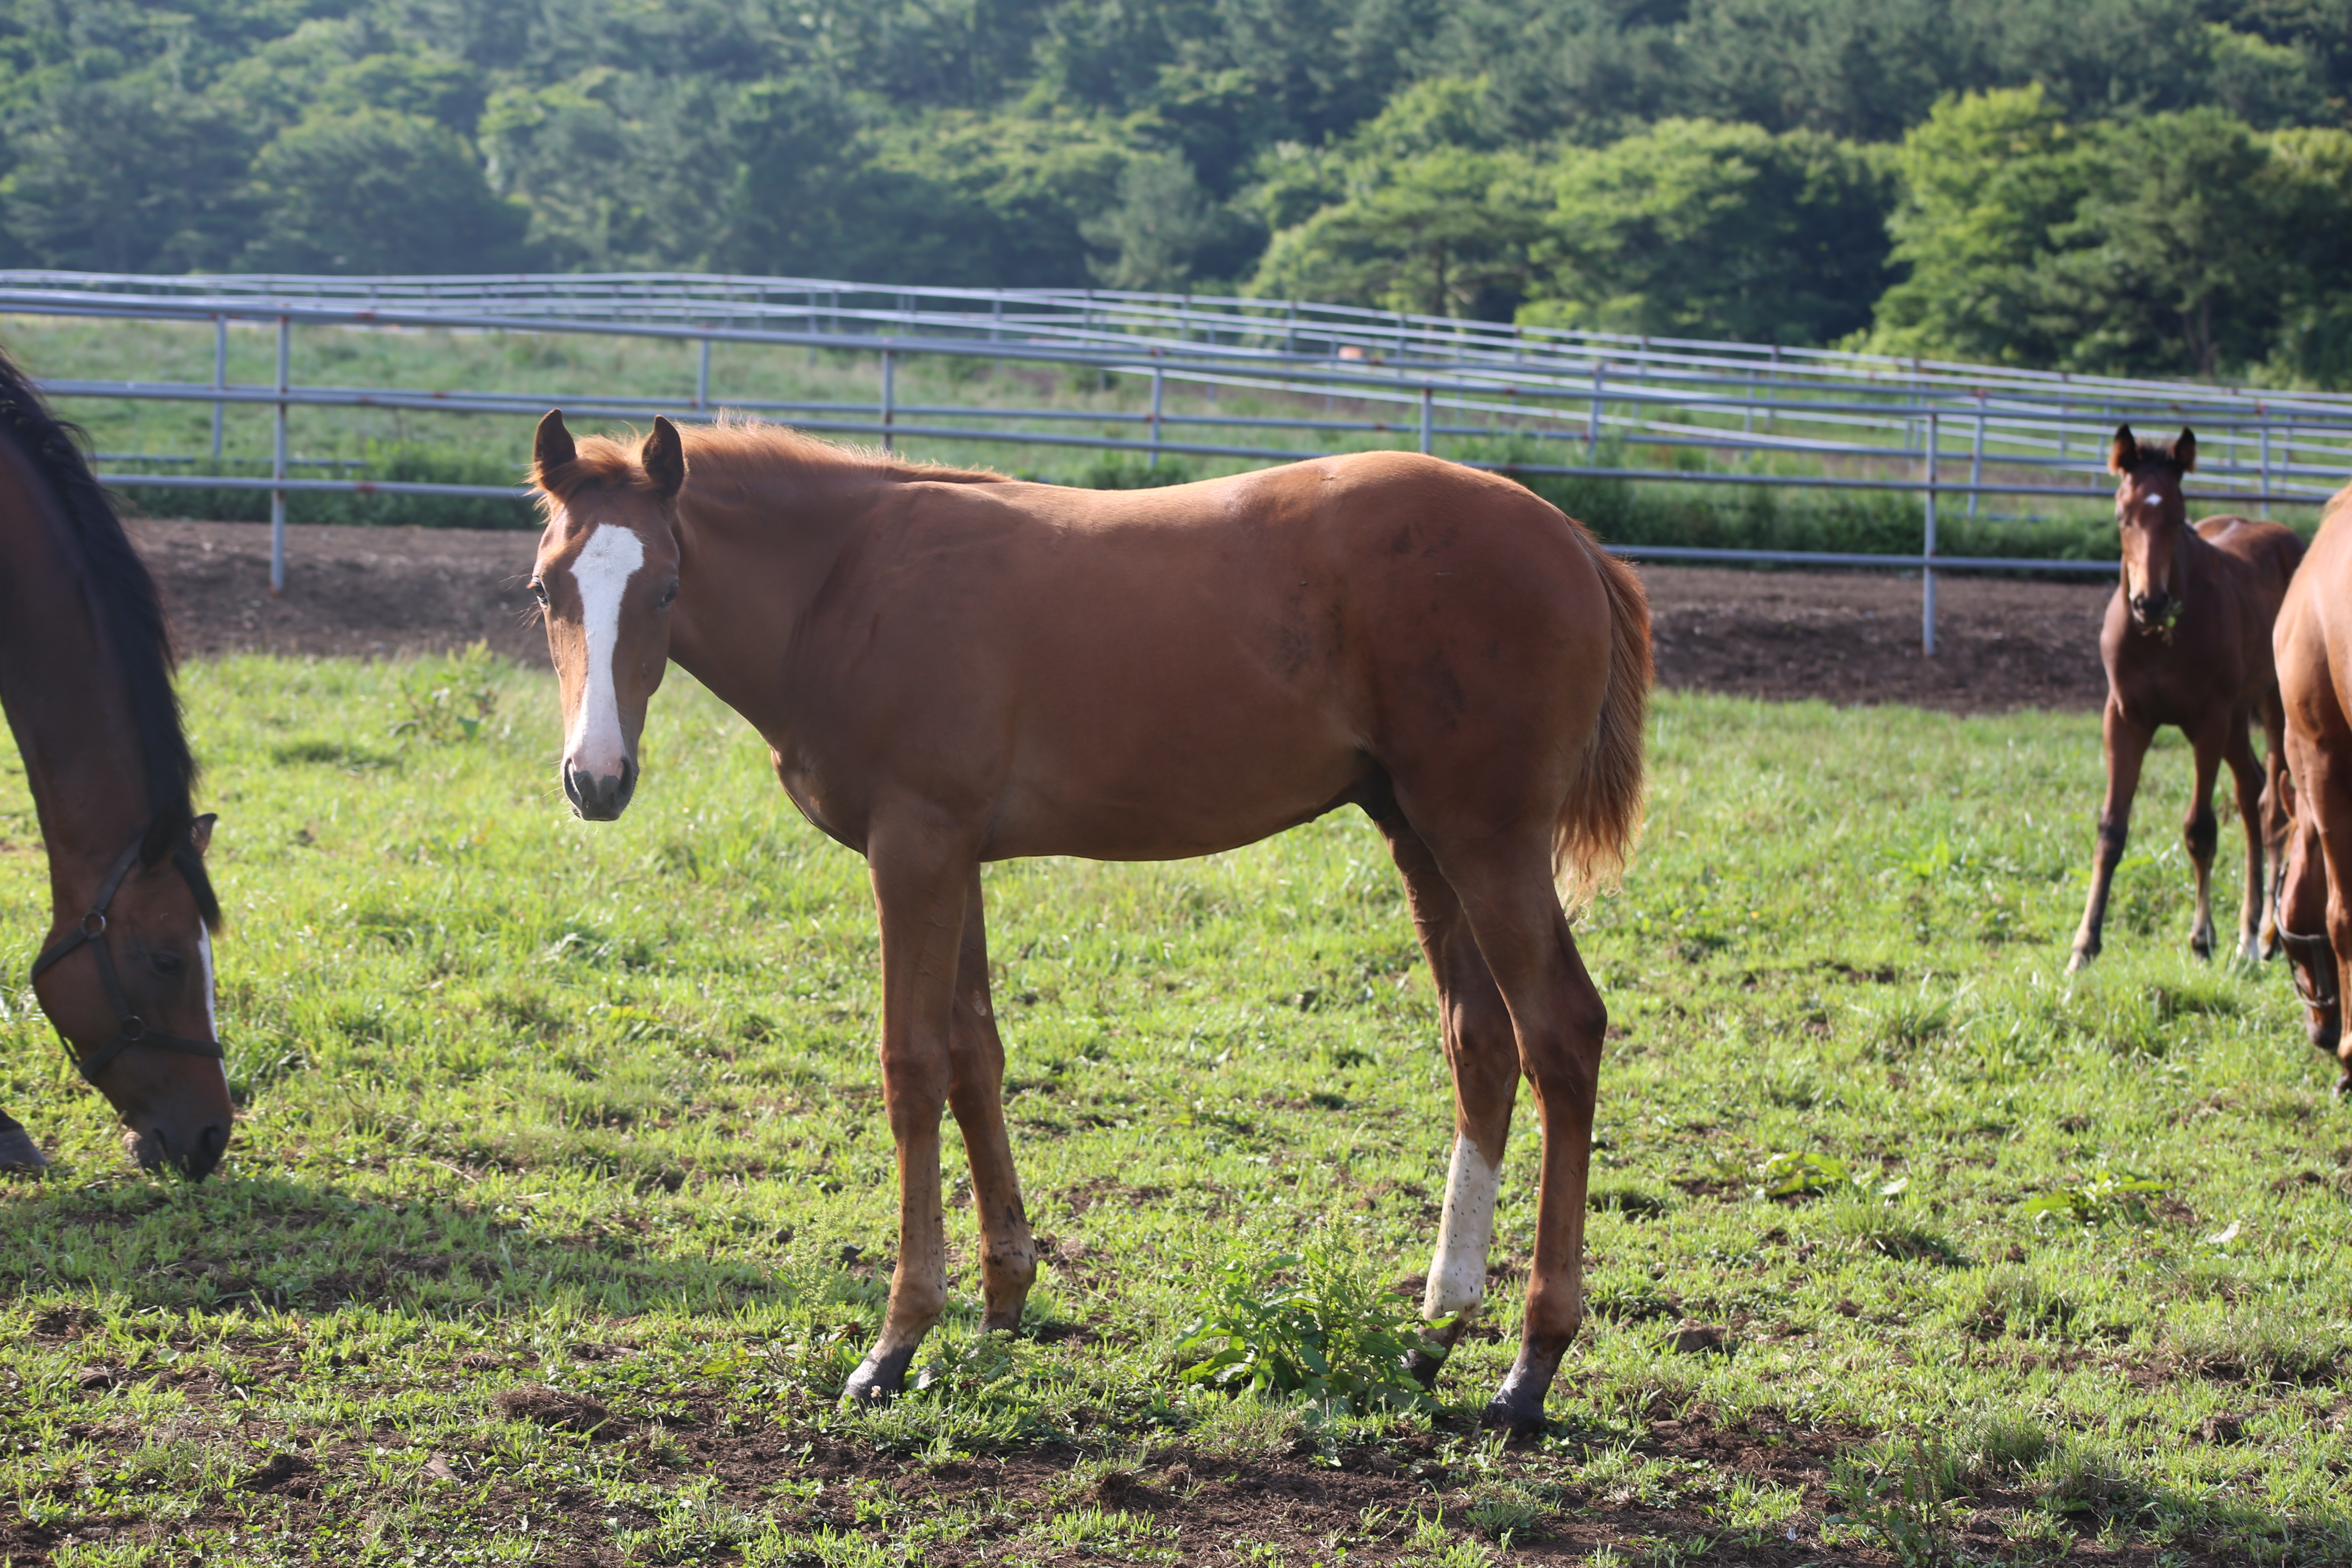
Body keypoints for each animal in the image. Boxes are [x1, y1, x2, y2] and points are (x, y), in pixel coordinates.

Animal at [527, 416, 1656, 1439]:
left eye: (665, 588)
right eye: (546, 589)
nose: (596, 779)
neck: (845, 584)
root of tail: (1573, 539)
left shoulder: (915, 847)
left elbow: (911, 1068)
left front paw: (895, 1344)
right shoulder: (957, 855)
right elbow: (974, 1055)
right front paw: (999, 1310)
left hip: (1487, 840)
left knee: (1560, 1032)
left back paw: (1529, 1367)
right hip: (1419, 835)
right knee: (1481, 1042)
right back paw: (1430, 1337)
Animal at [2069, 425, 2305, 968]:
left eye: (2178, 518)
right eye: (2123, 516)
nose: (2151, 602)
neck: (2161, 639)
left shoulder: (2209, 721)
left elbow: (2200, 829)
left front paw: (2202, 940)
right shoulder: (2125, 718)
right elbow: (2111, 830)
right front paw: (2085, 946)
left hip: (2273, 707)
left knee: (2274, 807)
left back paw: (2263, 934)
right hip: (2239, 717)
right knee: (2252, 793)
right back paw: (2247, 932)